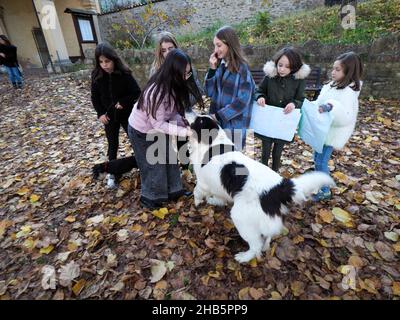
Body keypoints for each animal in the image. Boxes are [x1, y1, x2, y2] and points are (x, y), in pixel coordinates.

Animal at [188, 115, 334, 262]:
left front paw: (197, 203)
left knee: (255, 245)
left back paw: (245, 257)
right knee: (267, 235)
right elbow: (219, 196)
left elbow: (197, 192)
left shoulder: (202, 182)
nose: (188, 113)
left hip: (241, 218)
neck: (213, 142)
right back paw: (265, 246)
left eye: (198, 120)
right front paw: (214, 201)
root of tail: (278, 188)